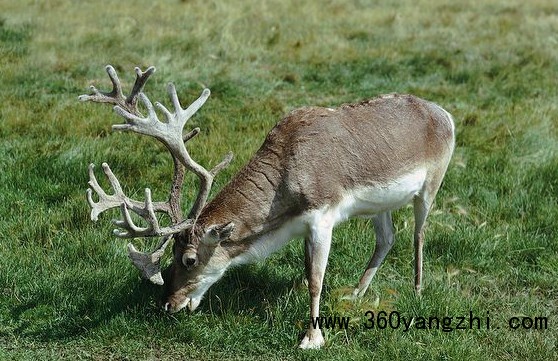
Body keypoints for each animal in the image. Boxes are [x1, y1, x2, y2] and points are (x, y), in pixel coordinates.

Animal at [79, 65, 456, 348]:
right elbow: (309, 274)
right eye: (170, 254)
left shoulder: (322, 214)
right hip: (381, 204)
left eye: (189, 259)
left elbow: (314, 278)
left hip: (432, 182)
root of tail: (447, 115)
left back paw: (417, 292)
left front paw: (312, 338)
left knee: (419, 234)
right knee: (387, 238)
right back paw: (355, 295)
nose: (170, 303)